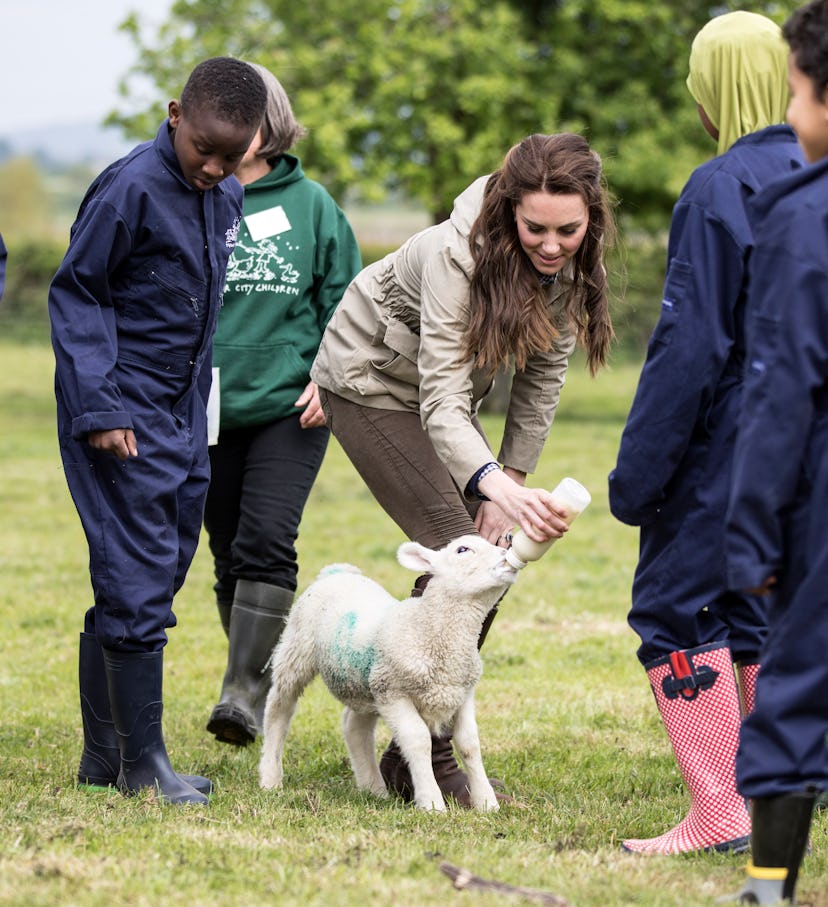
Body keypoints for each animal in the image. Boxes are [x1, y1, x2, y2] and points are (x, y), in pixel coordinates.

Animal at [258, 532, 516, 808]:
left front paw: (486, 802)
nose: (507, 551)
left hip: (364, 682)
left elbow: (469, 744)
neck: (426, 629)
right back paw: (270, 776)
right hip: (298, 649)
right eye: (463, 549)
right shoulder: (394, 693)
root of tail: (337, 572)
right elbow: (418, 741)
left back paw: (373, 787)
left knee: (354, 726)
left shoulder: (462, 693)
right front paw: (431, 802)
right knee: (279, 706)